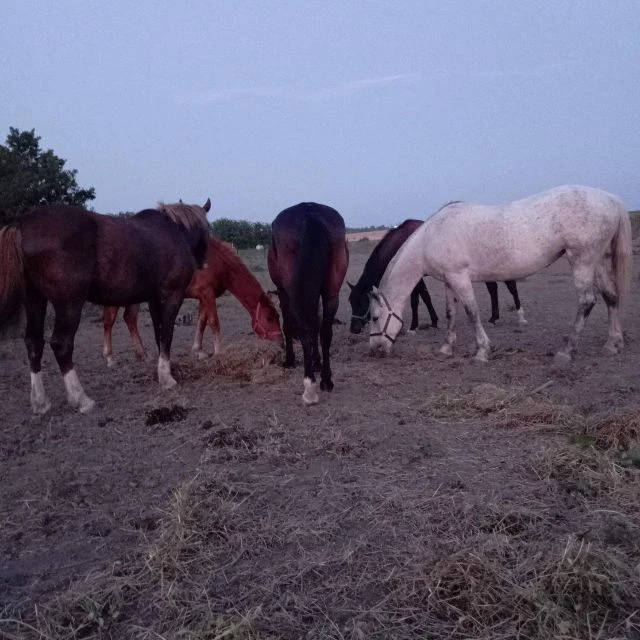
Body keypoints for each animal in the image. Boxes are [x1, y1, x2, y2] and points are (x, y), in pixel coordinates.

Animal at [0, 200, 211, 414]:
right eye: (207, 230)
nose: (203, 263)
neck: (173, 231)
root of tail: (22, 224)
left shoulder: (154, 300)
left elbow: (158, 334)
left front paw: (164, 370)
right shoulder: (172, 296)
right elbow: (166, 334)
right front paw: (167, 379)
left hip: (35, 300)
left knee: (33, 343)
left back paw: (40, 402)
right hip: (69, 304)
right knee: (61, 344)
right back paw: (81, 399)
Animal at [102, 236, 283, 364]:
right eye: (269, 318)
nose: (280, 342)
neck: (218, 261)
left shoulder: (204, 296)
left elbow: (202, 322)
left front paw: (198, 351)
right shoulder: (207, 294)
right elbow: (214, 322)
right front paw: (219, 351)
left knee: (130, 318)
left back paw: (143, 355)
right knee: (109, 321)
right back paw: (110, 357)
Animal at [268, 202, 349, 405]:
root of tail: (309, 210)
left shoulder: (283, 293)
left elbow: (289, 326)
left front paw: (289, 360)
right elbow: (317, 327)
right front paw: (316, 362)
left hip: (293, 293)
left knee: (304, 330)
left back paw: (309, 386)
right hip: (330, 292)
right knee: (325, 331)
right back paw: (326, 381)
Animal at [348, 219, 526, 334]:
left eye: (362, 301)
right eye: (351, 301)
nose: (354, 329)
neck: (400, 244)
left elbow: (417, 299)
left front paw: (414, 326)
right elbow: (425, 297)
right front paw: (433, 321)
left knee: (511, 287)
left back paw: (520, 316)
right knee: (493, 288)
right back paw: (493, 318)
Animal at [368, 186, 632, 363]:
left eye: (374, 317)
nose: (374, 350)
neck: (431, 236)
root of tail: (610, 199)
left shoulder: (460, 278)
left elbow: (471, 312)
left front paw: (482, 351)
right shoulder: (448, 282)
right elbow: (450, 313)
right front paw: (446, 348)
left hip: (582, 261)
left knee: (587, 302)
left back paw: (566, 351)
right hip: (597, 261)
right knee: (611, 296)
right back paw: (613, 344)